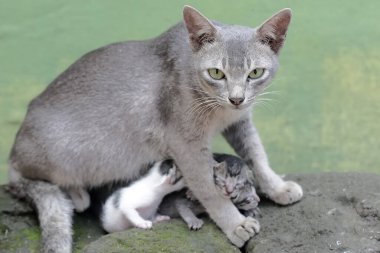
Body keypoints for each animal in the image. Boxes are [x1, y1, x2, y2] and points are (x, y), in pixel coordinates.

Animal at [6, 4, 302, 252]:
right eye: (217, 73)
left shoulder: (239, 121)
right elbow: (208, 188)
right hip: (68, 154)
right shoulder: (185, 143)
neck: (219, 112)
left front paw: (277, 188)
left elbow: (257, 154)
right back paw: (76, 194)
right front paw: (236, 224)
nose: (236, 98)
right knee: (25, 182)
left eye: (255, 73)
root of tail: (15, 147)